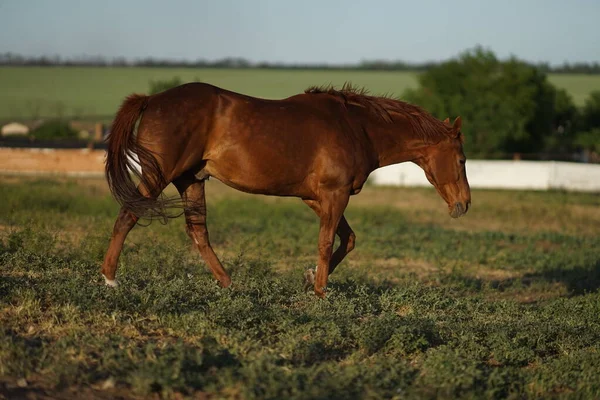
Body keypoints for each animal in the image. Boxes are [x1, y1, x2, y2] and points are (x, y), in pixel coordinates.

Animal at [102, 83, 468, 298]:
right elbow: (326, 243)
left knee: (198, 233)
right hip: (159, 173)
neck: (357, 127)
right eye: (462, 159)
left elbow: (347, 239)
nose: (463, 205)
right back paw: (110, 279)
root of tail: (151, 99)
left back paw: (230, 285)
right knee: (127, 215)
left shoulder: (317, 197)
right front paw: (320, 292)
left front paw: (309, 278)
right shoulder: (334, 195)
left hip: (190, 180)